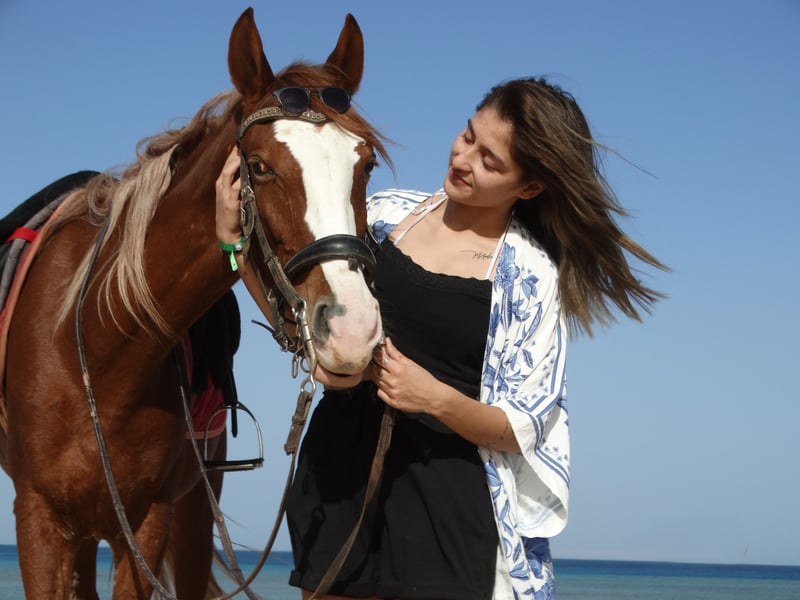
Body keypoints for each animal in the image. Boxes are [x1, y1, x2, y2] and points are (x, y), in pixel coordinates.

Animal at [0, 7, 387, 598]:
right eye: (259, 166)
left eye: (364, 166)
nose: (352, 329)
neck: (96, 346)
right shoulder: (37, 521)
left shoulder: (150, 519)